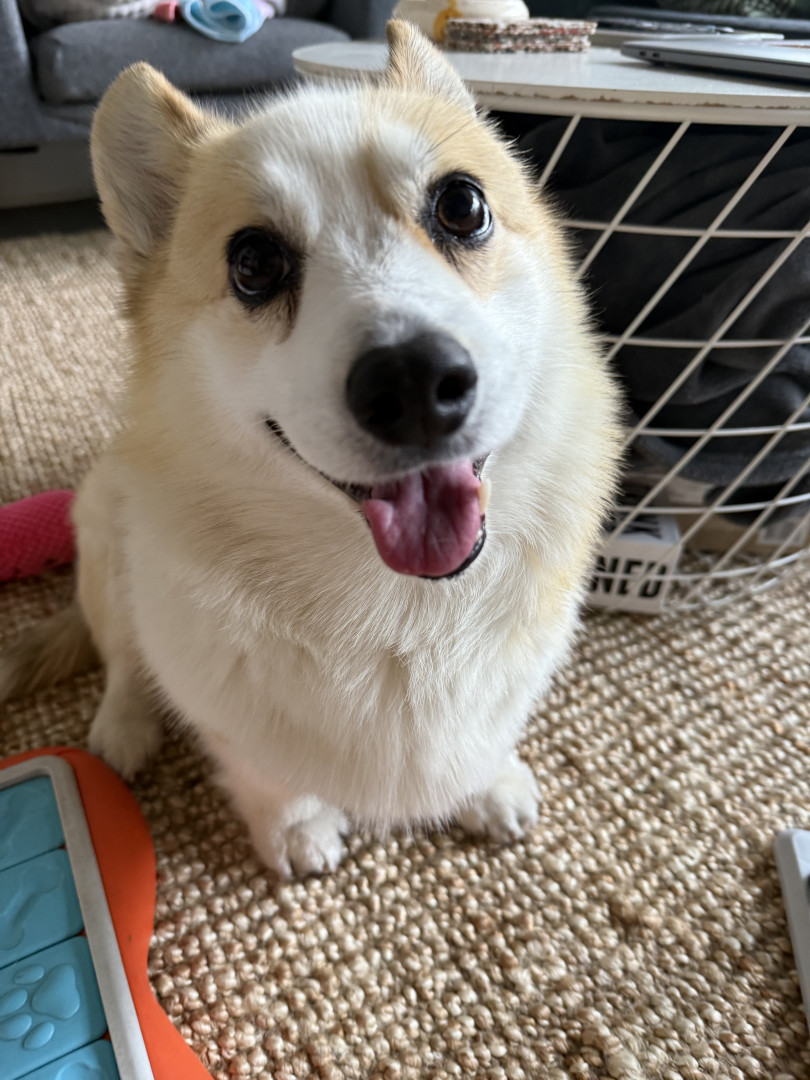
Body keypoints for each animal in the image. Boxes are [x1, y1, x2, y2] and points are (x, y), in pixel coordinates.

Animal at [0, 22, 620, 877]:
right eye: (254, 262)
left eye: (462, 205)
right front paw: (297, 831)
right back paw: (123, 730)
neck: (401, 604)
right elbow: (269, 774)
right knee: (121, 657)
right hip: (103, 538)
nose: (415, 382)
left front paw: (485, 784)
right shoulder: (223, 705)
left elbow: (485, 733)